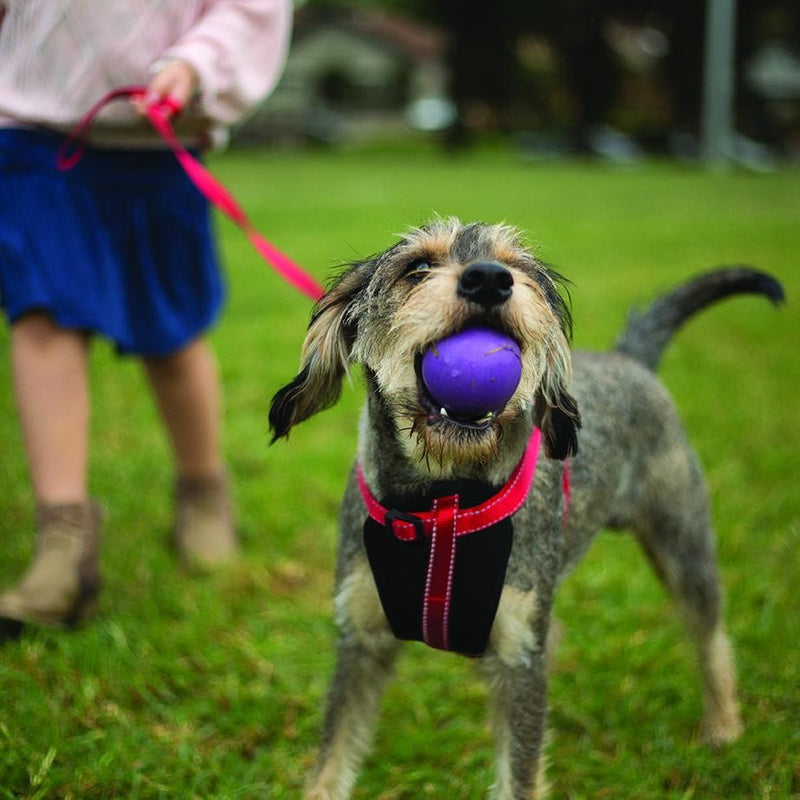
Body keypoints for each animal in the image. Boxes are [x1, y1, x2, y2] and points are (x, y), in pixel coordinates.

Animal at [268, 219, 780, 800]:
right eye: (416, 267)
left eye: (516, 266)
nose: (490, 279)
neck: (442, 504)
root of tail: (631, 359)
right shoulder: (359, 642)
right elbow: (331, 761)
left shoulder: (520, 658)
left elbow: (522, 774)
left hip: (683, 542)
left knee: (710, 633)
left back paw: (724, 726)